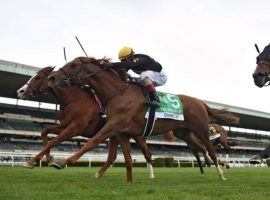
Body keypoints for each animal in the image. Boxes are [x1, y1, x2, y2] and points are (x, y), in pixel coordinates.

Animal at [16, 66, 155, 180]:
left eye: (38, 77)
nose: (20, 91)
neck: (74, 99)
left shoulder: (75, 128)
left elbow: (54, 140)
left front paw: (33, 161)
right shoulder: (64, 125)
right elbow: (45, 131)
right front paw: (48, 159)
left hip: (136, 135)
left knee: (147, 153)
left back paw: (151, 175)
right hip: (114, 135)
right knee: (112, 157)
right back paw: (97, 175)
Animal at [48, 56, 238, 181]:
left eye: (73, 64)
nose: (52, 77)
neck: (118, 93)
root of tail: (200, 102)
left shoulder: (112, 125)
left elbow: (91, 142)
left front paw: (62, 162)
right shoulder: (122, 133)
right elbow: (127, 160)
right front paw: (129, 182)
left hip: (202, 130)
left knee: (211, 150)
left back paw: (221, 173)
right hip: (183, 133)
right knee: (200, 149)